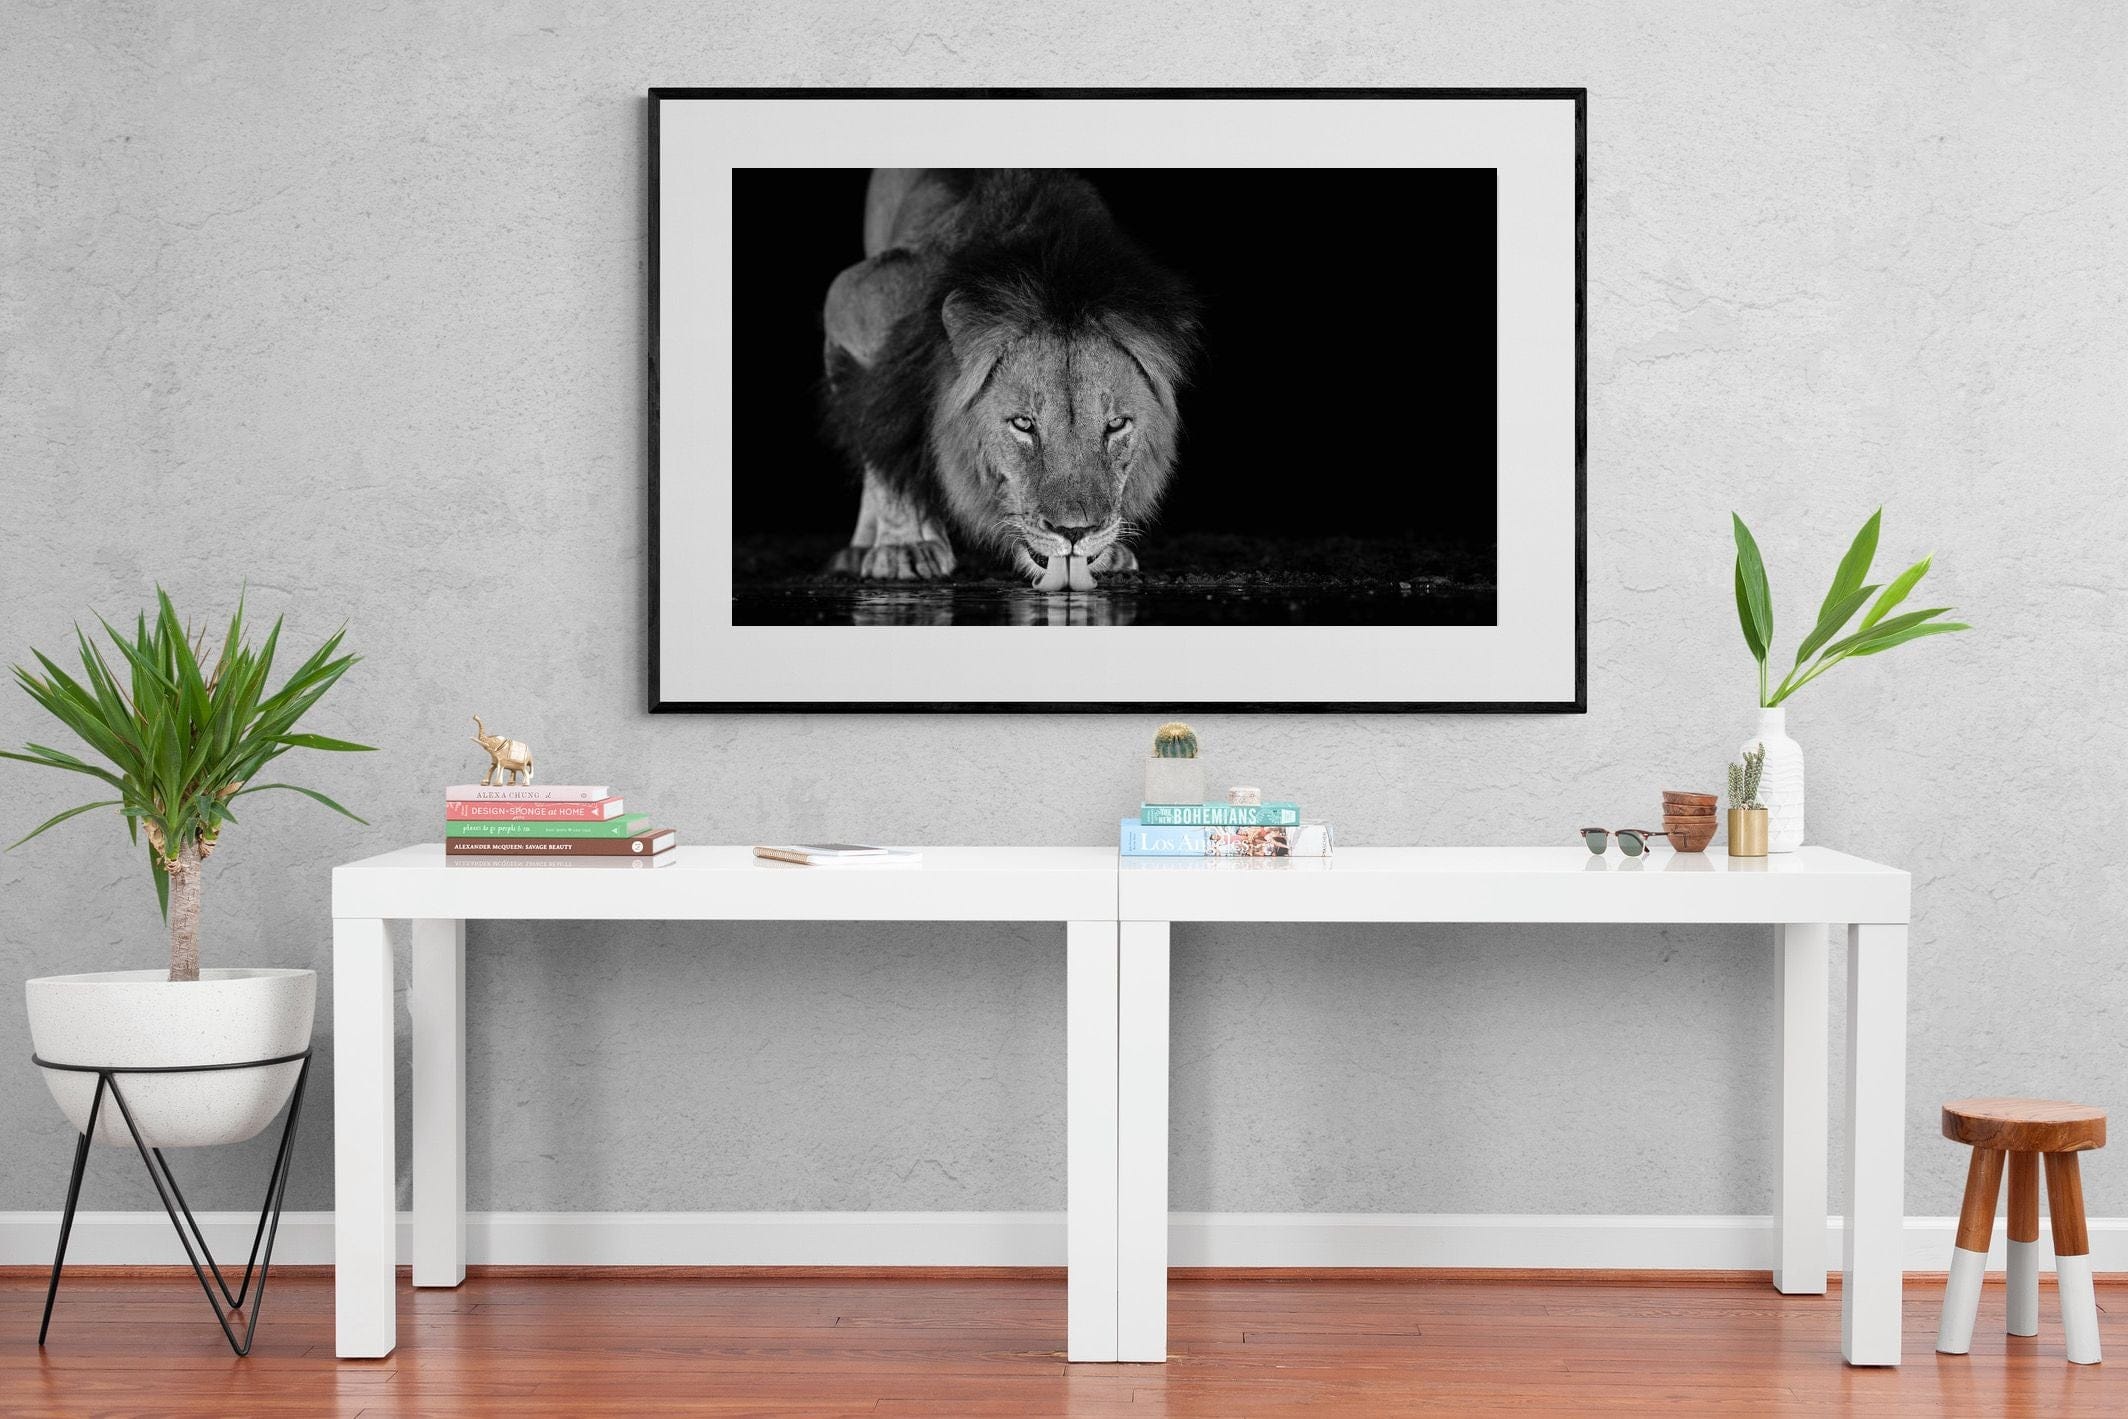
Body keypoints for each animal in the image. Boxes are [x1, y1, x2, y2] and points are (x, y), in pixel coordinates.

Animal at [820, 170, 1198, 588]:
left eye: (1116, 425)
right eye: (1023, 424)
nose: (1074, 532)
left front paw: (1109, 550)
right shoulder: (854, 302)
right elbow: (884, 433)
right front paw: (903, 547)